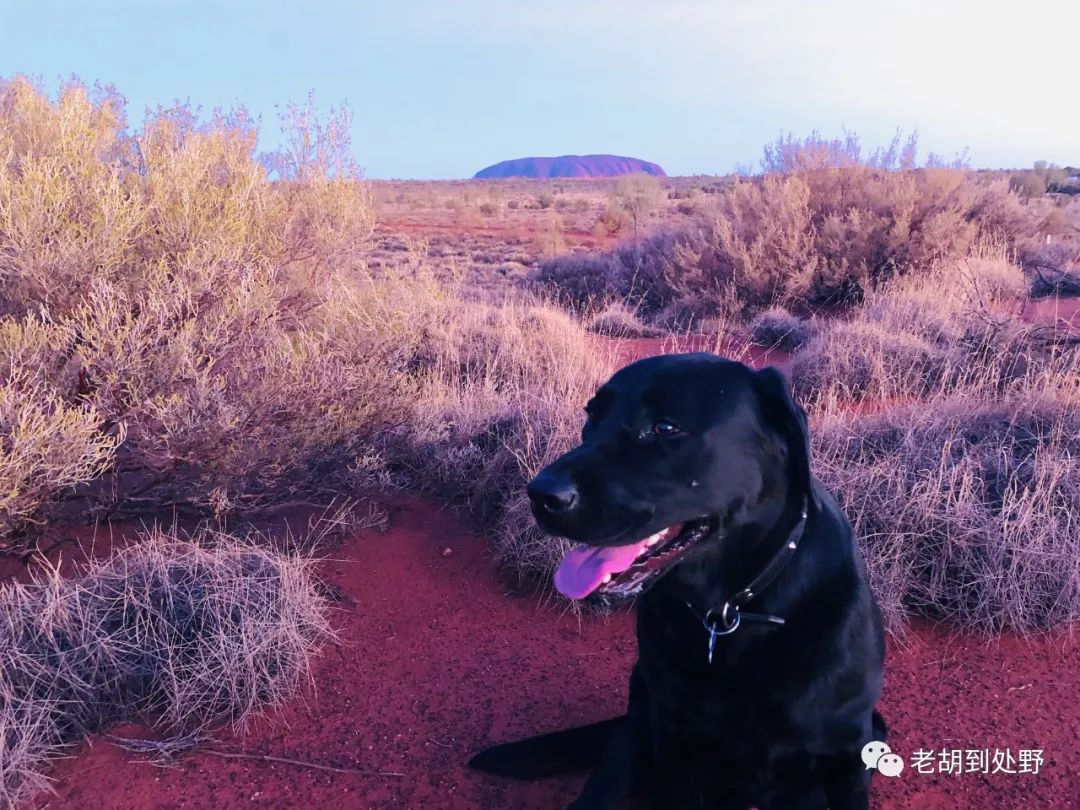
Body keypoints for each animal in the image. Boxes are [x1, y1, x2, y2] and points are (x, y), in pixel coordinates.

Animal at [470, 354, 885, 810]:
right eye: (592, 416)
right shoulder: (674, 738)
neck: (730, 611)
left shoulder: (848, 751)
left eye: (665, 428)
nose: (540, 495)